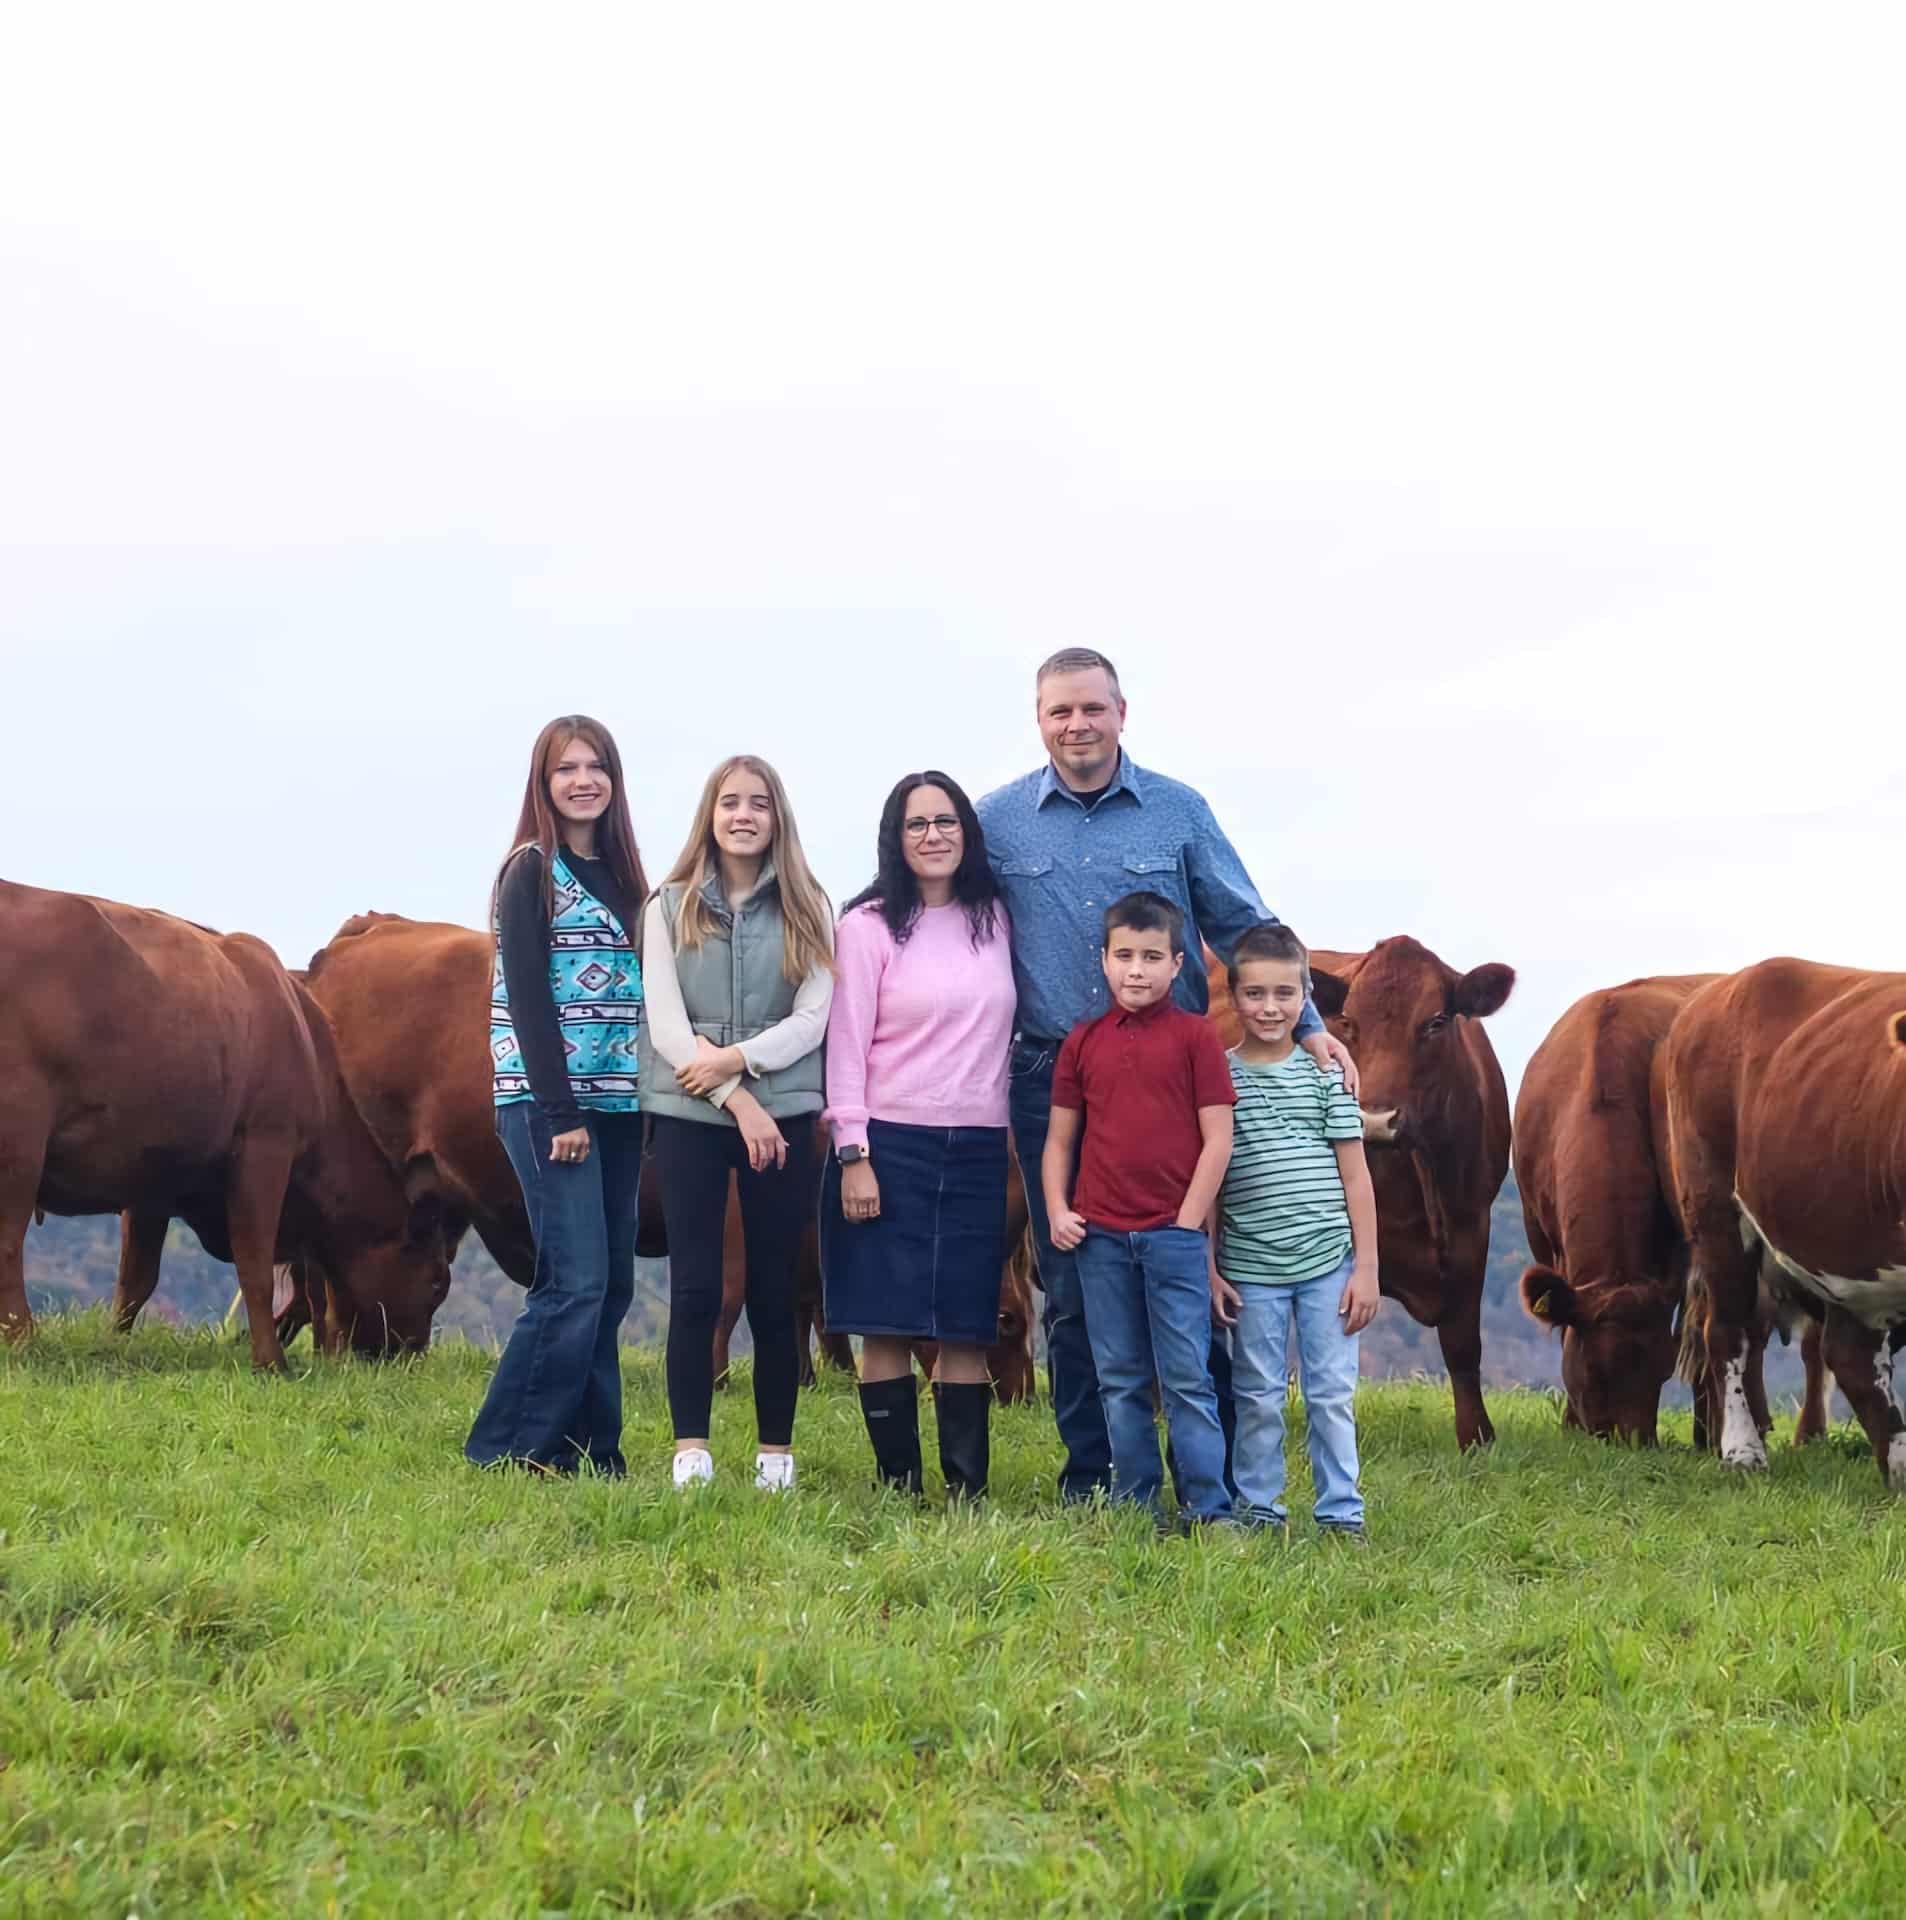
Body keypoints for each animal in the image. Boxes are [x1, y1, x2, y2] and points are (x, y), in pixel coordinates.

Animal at [0, 883, 449, 1367]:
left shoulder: (153, 1178)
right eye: (437, 1282)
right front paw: (271, 1362)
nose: (411, 1355)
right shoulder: (265, 1147)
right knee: (8, 1242)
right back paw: (22, 1341)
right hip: (20, 1140)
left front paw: (112, 1345)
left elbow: (136, 1280)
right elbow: (255, 1267)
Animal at [1205, 936, 1520, 1443]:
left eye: (1435, 1022)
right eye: (1350, 1022)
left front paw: (1476, 1437)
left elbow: (1463, 1344)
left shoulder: (1472, 1225)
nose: (1375, 1119)